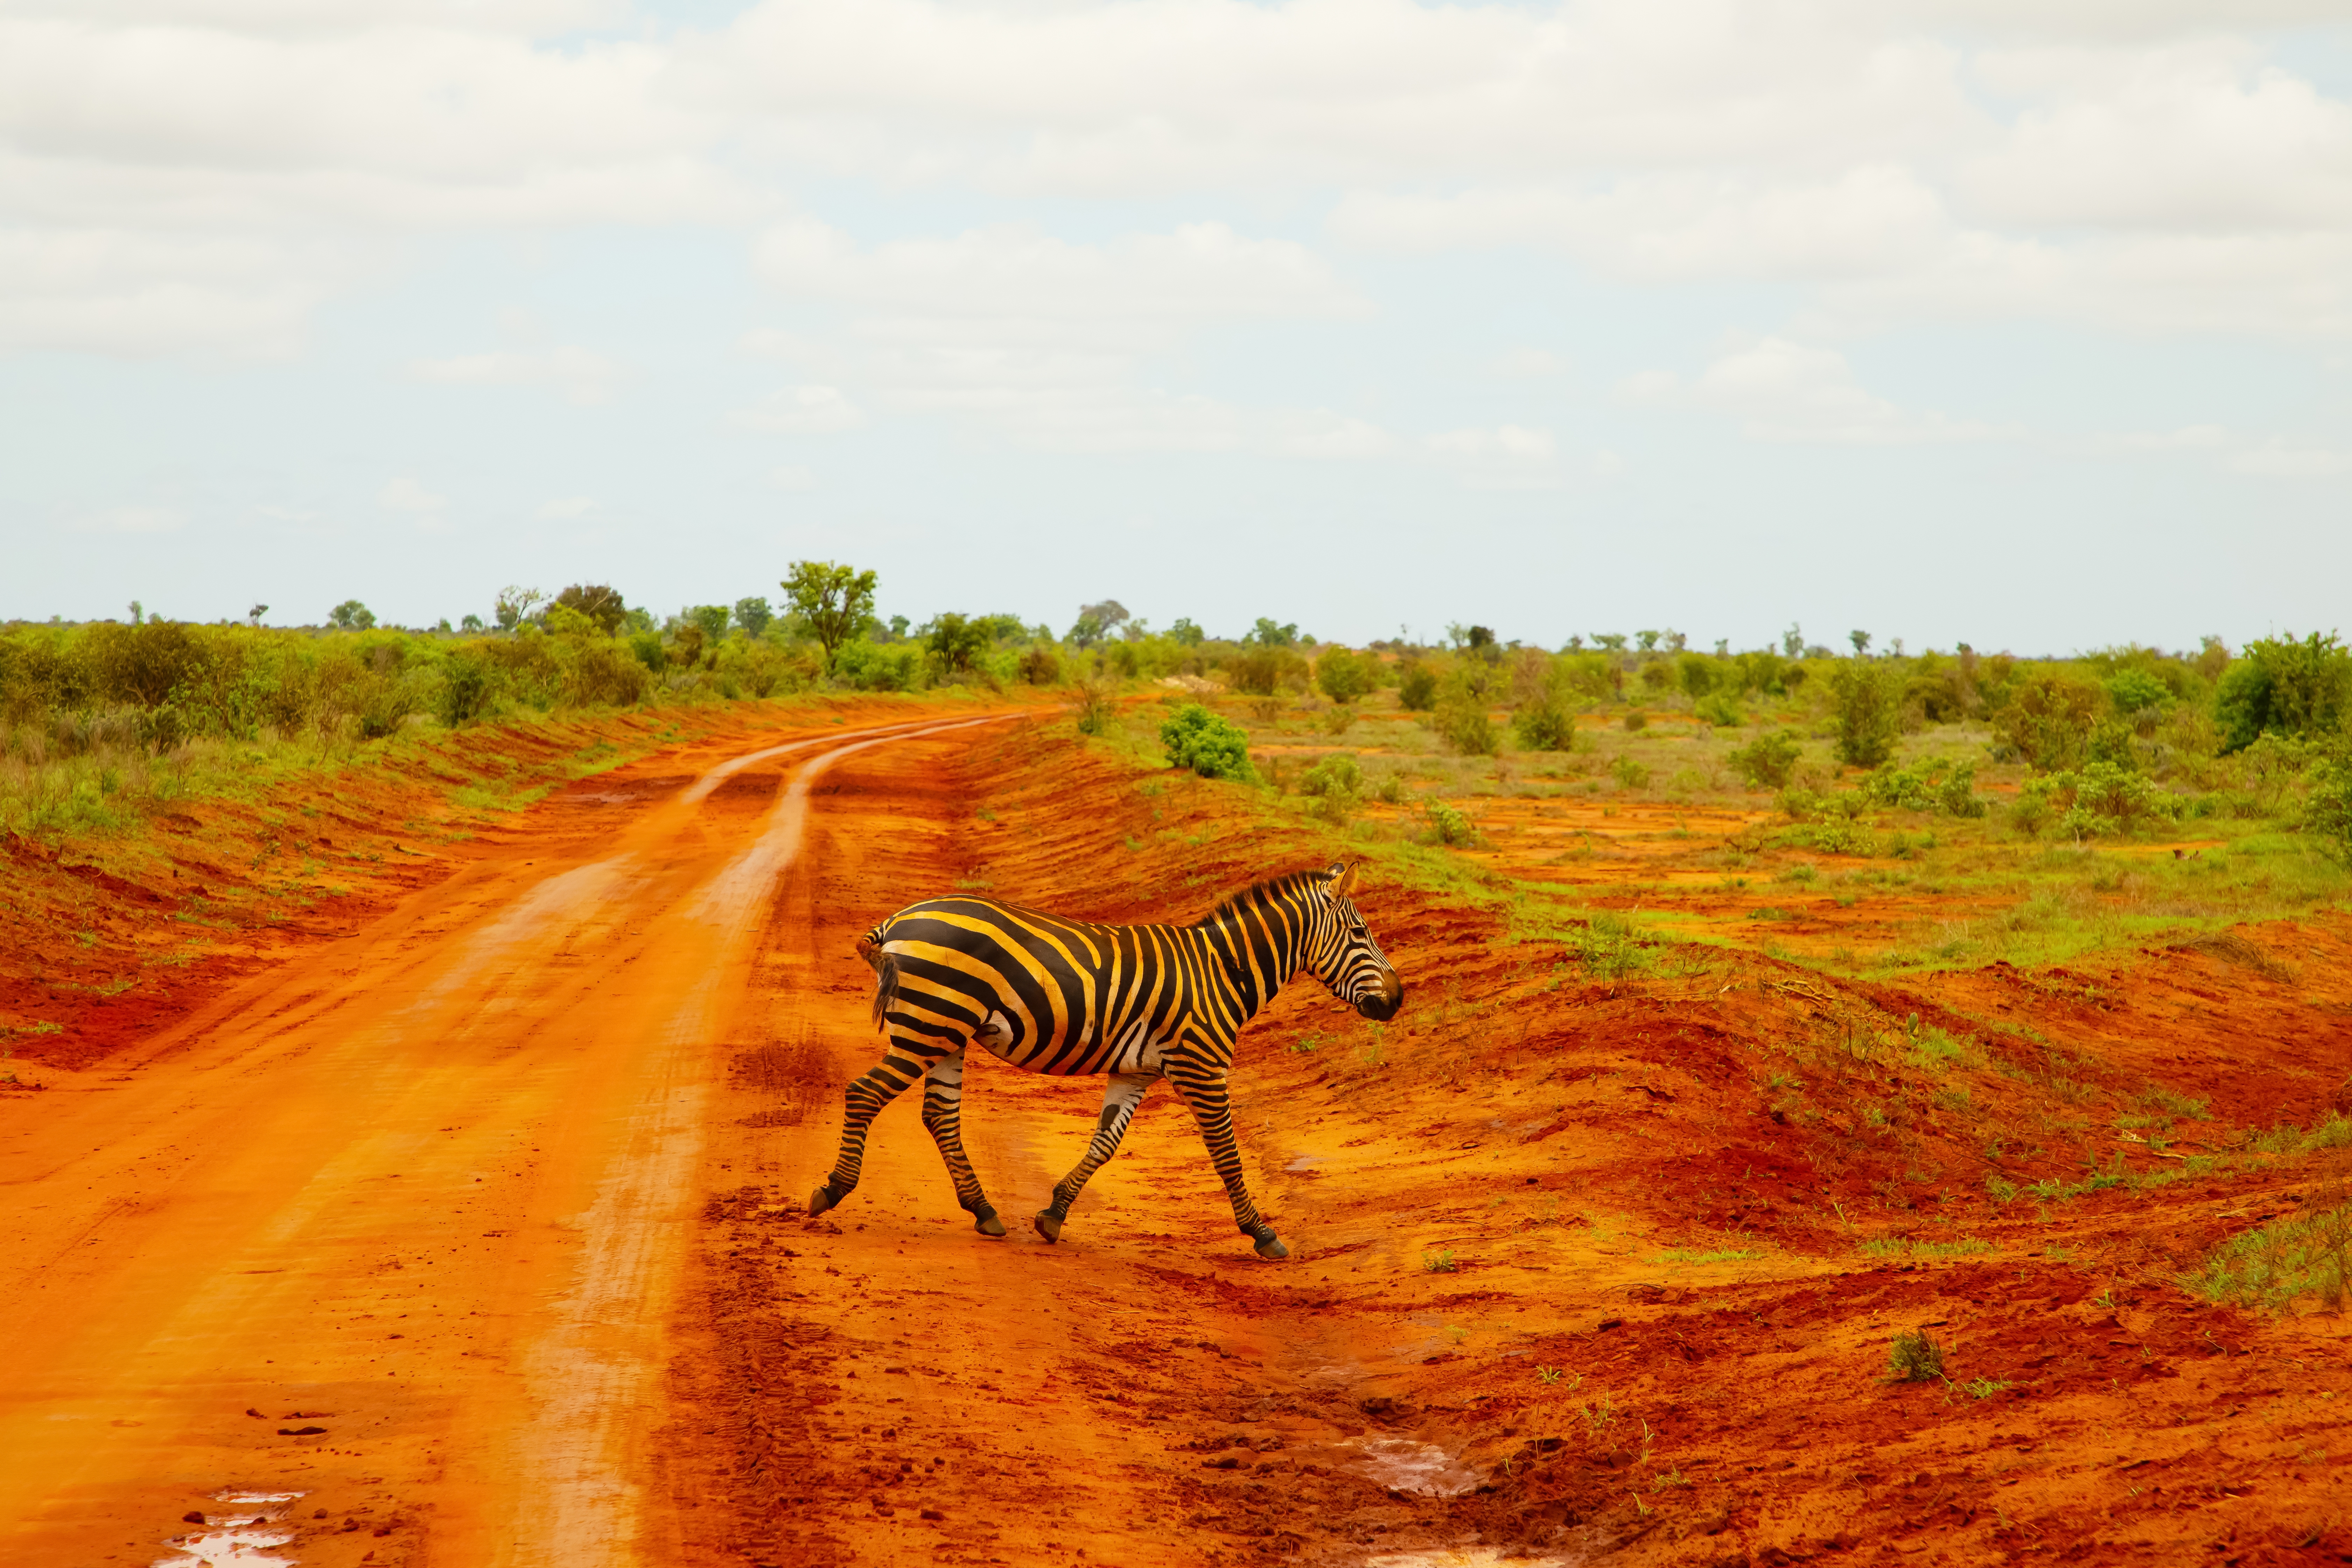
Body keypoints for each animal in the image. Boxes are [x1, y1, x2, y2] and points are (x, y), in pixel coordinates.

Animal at [806, 860, 1403, 1259]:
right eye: (1360, 933)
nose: (1397, 1001)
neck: (1222, 971)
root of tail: (899, 920)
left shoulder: (1134, 1071)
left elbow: (1105, 1144)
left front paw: (1053, 1215)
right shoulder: (1203, 1068)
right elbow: (1228, 1156)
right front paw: (1263, 1234)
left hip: (947, 1031)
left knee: (940, 1116)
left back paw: (985, 1212)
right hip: (929, 1024)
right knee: (865, 1093)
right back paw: (831, 1190)